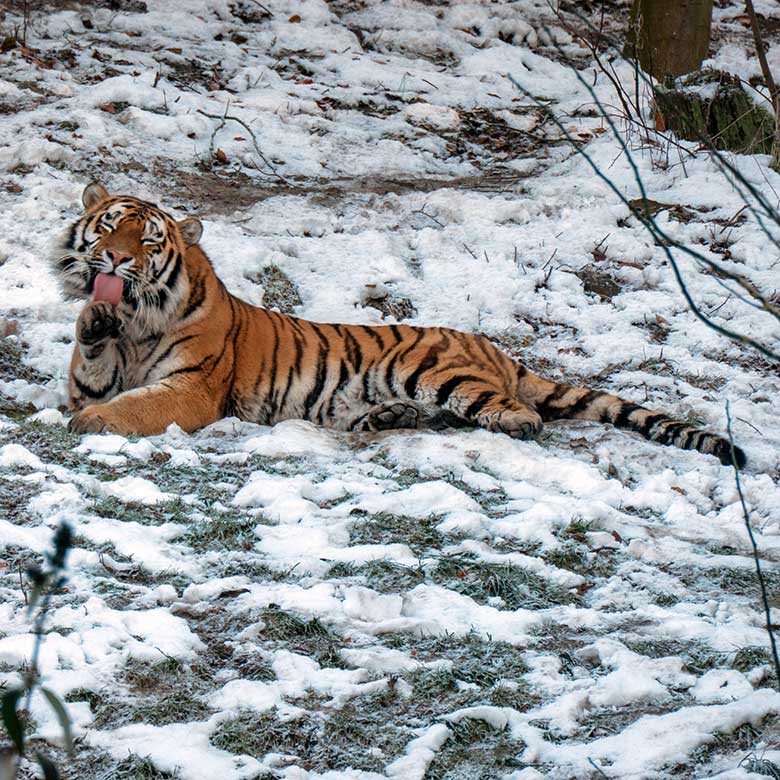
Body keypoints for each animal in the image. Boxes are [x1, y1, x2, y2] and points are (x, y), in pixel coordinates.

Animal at [51, 181, 748, 470]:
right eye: (109, 226)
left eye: (149, 239)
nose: (115, 261)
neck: (140, 320)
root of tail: (495, 348)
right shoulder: (97, 369)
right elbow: (89, 367)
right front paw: (93, 314)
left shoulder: (192, 387)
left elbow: (135, 406)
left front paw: (95, 425)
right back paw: (385, 419)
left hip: (434, 372)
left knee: (519, 413)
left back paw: (509, 425)